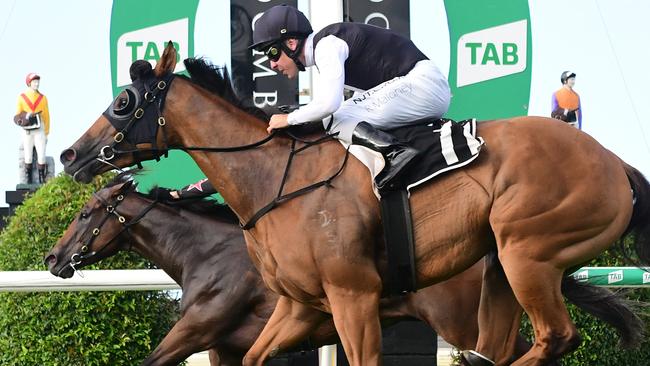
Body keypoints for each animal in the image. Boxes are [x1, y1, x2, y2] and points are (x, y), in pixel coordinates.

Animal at [60, 43, 648, 366]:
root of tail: (616, 164)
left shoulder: (353, 296)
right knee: (502, 348)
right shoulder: (297, 307)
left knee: (554, 337)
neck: (274, 181)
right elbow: (253, 355)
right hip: (499, 267)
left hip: (527, 252)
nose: (71, 154)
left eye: (123, 101)